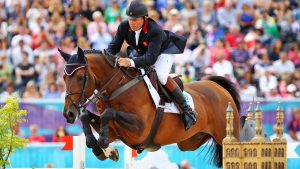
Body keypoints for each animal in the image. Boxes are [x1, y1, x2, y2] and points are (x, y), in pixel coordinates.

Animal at [58, 46, 241, 166]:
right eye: (64, 77)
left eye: (81, 77)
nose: (68, 114)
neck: (117, 88)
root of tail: (217, 86)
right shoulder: (115, 131)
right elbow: (87, 117)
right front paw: (103, 149)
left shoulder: (139, 129)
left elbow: (108, 113)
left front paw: (104, 145)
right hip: (189, 142)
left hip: (225, 135)